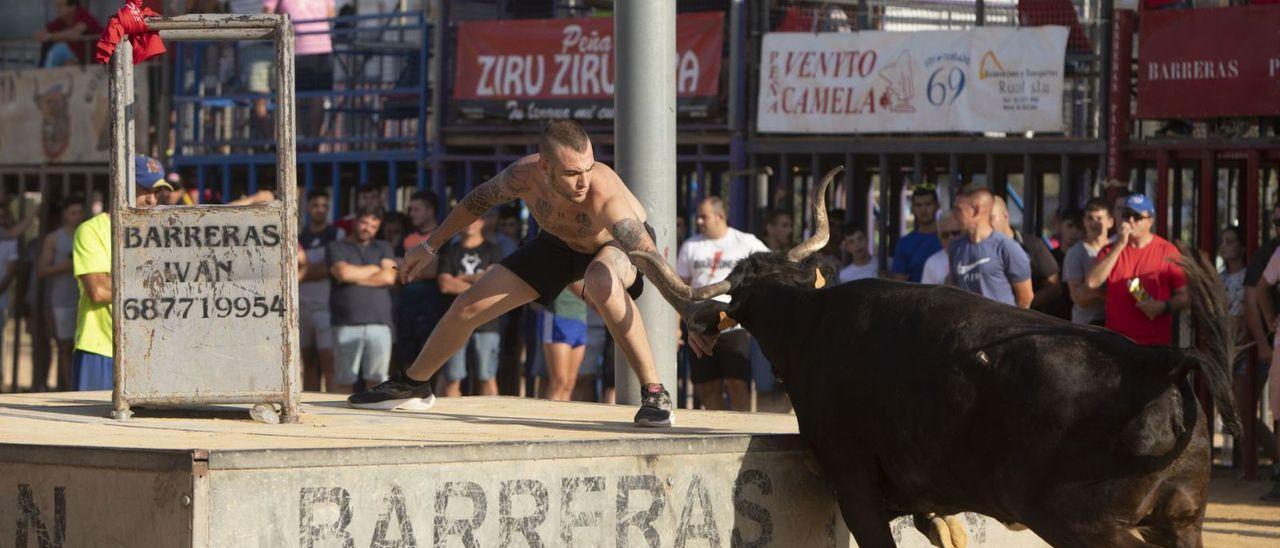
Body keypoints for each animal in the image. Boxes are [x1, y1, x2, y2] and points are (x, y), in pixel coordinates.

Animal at [634, 166, 1233, 548]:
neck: (812, 320)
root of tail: (1160, 362)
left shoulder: (857, 489)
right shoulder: (928, 500)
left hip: (1085, 524)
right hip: (1183, 523)